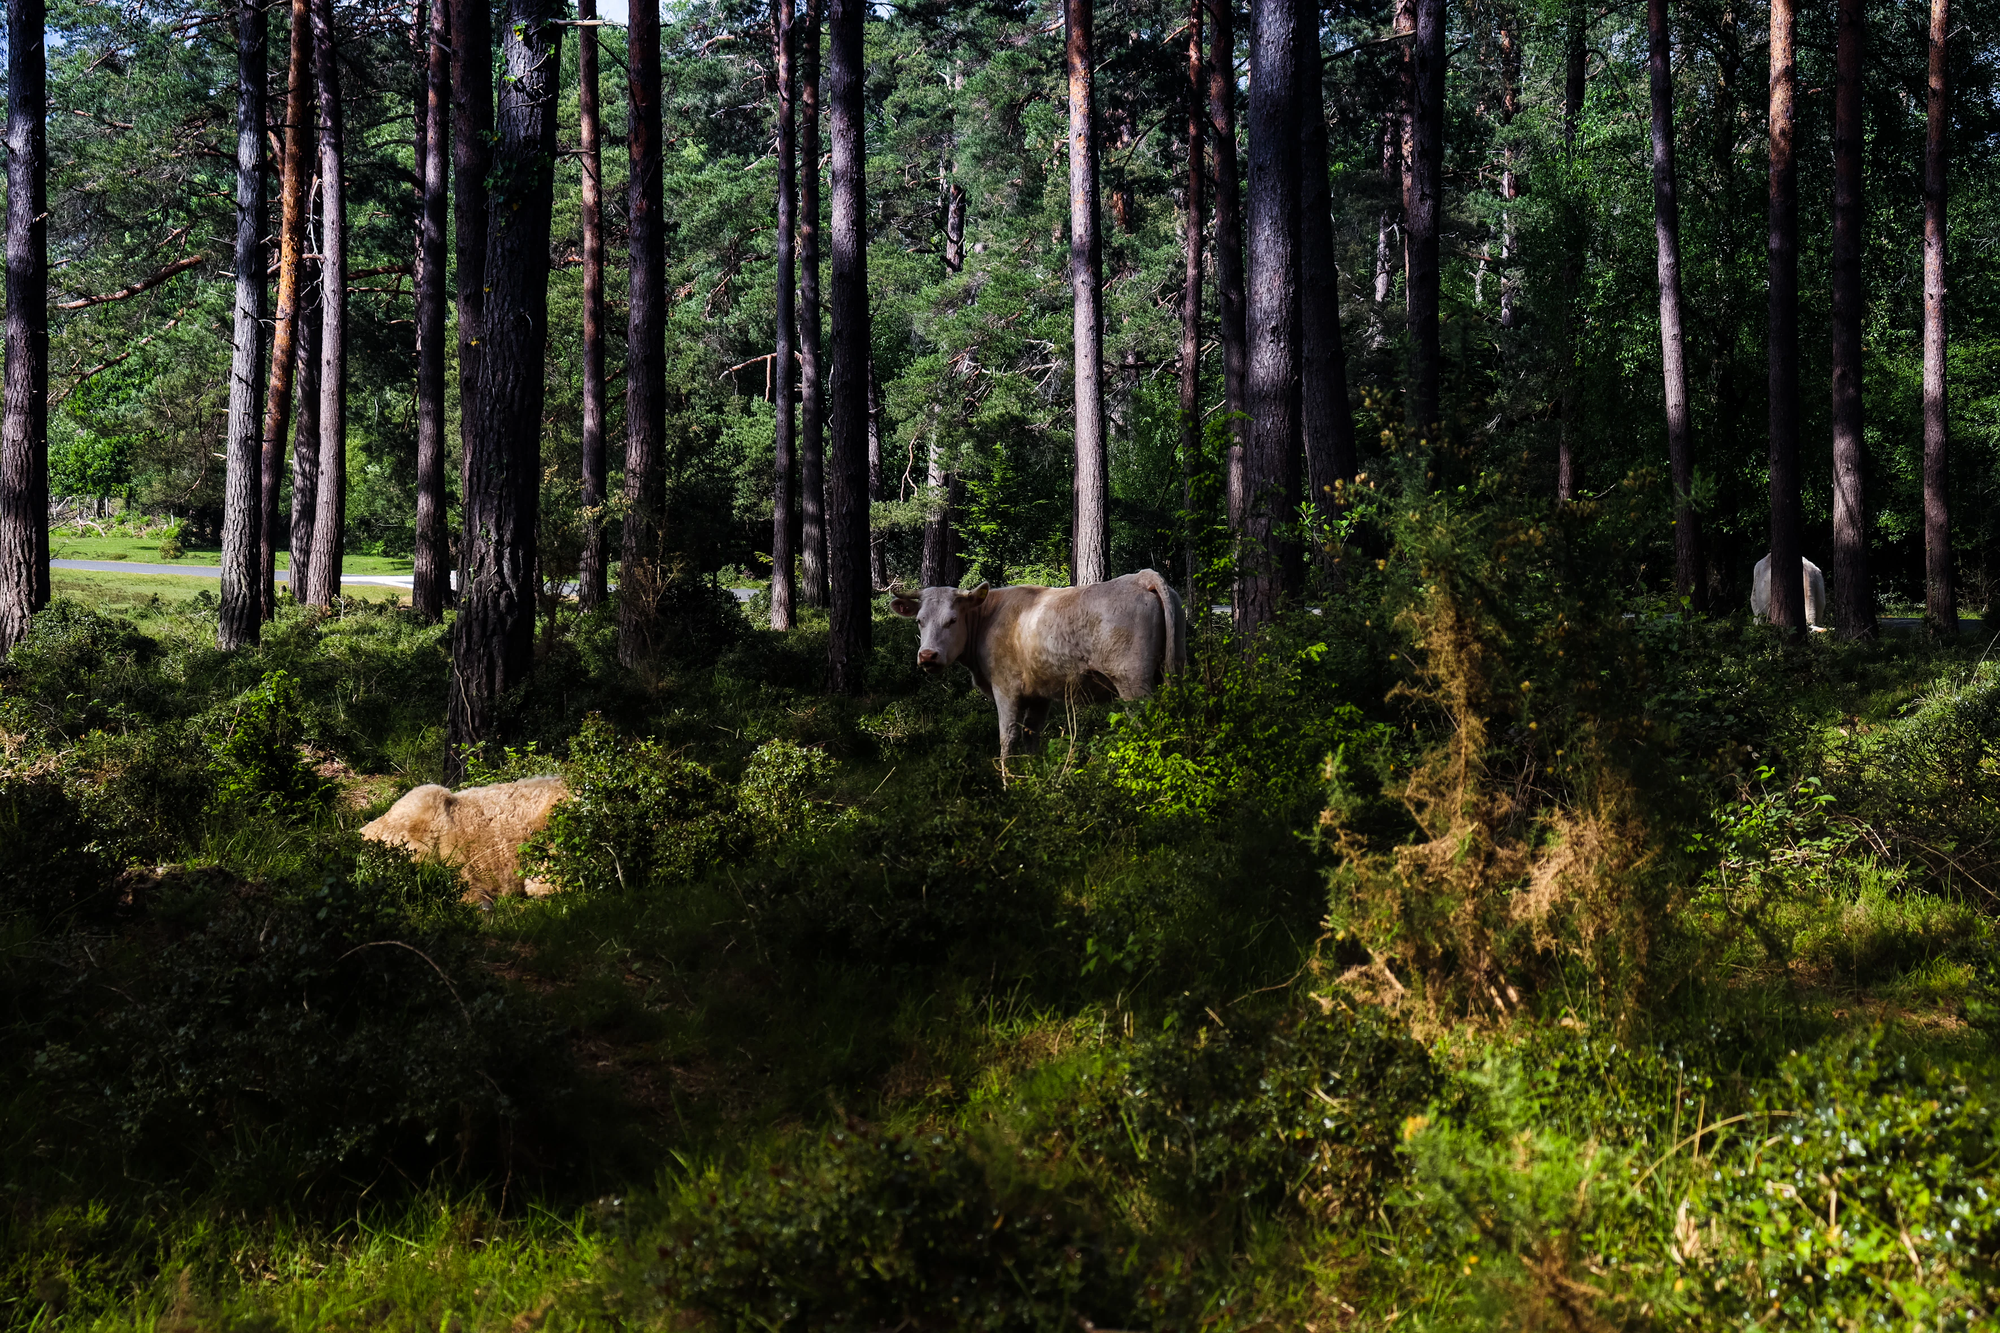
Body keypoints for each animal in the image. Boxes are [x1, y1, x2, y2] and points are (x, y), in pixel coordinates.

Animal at [892, 568, 1184, 764]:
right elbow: (1030, 736)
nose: (927, 656)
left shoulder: (1006, 689)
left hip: (1133, 683)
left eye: (952, 620)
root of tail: (1142, 576)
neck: (988, 619)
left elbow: (1007, 737)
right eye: (919, 620)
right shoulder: (1039, 694)